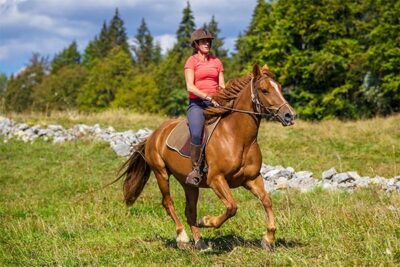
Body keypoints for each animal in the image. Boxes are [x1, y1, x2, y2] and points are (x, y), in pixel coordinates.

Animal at [119, 65, 294, 251]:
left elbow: (267, 201)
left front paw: (268, 239)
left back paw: (199, 242)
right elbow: (232, 207)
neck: (237, 137)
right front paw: (207, 221)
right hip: (161, 173)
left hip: (189, 184)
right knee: (168, 203)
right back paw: (182, 238)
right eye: (264, 90)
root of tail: (155, 134)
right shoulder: (216, 179)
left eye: (280, 88)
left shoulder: (252, 178)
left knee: (190, 210)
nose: (290, 115)